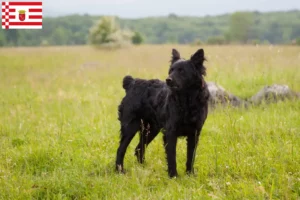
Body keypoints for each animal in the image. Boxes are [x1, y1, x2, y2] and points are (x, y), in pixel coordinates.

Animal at [115, 48, 209, 178]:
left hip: (151, 129)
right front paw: (173, 176)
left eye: (182, 71)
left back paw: (143, 168)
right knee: (121, 149)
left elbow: (191, 157)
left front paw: (190, 175)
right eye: (171, 70)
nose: (168, 80)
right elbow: (172, 157)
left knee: (139, 149)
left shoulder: (194, 133)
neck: (187, 100)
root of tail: (132, 83)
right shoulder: (170, 132)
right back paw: (120, 171)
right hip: (130, 127)